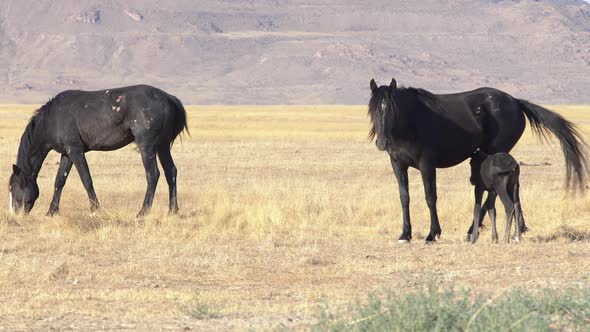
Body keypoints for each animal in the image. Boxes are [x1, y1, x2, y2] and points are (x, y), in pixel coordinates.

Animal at [9, 84, 190, 217]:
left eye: (13, 187)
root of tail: (170, 99)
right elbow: (59, 181)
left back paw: (143, 212)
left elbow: (86, 179)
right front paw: (51, 211)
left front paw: (95, 209)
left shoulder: (75, 150)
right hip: (162, 146)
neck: (52, 119)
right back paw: (172, 210)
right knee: (171, 172)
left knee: (153, 174)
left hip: (148, 146)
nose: (15, 214)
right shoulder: (66, 153)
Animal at [370, 78, 588, 244]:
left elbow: (430, 197)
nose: (381, 142)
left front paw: (433, 234)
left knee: (493, 196)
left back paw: (473, 232)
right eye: (374, 110)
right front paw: (405, 234)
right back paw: (517, 230)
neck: (411, 124)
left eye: (391, 110)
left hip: (496, 154)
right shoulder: (398, 165)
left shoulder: (427, 165)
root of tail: (516, 102)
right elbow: (404, 197)